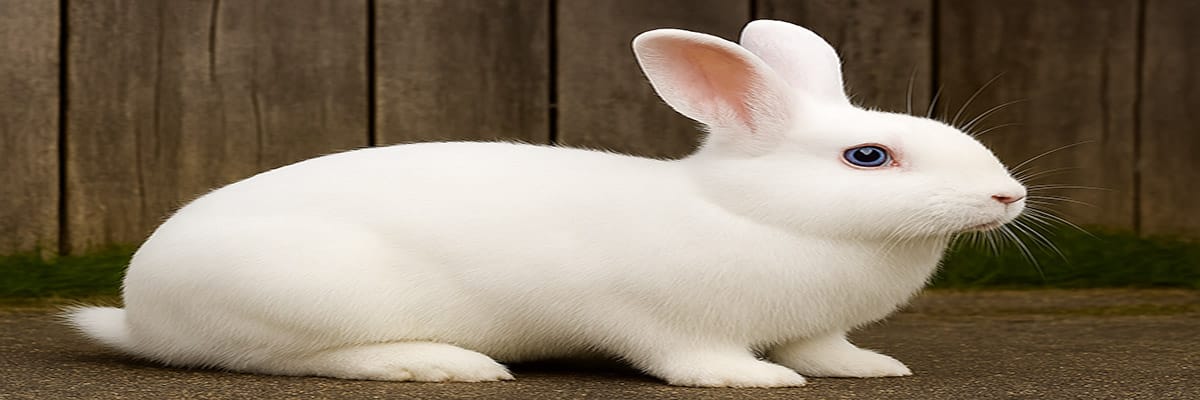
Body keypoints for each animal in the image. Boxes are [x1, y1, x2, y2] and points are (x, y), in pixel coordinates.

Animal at [65, 19, 1026, 388]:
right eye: (868, 157)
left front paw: (867, 368)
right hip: (307, 299)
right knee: (300, 361)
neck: (754, 212)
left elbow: (823, 347)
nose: (1007, 194)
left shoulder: (813, 323)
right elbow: (690, 356)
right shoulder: (653, 316)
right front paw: (752, 379)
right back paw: (443, 365)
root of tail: (140, 309)